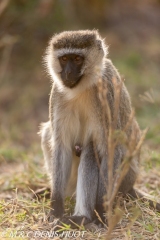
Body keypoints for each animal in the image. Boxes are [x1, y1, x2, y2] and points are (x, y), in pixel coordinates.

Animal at [39, 30, 159, 227]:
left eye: (77, 59)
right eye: (64, 59)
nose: (68, 72)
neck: (82, 88)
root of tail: (131, 185)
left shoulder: (107, 97)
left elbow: (111, 148)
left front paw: (101, 211)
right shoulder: (57, 94)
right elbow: (61, 147)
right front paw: (56, 208)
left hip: (123, 179)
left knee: (91, 147)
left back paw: (82, 217)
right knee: (49, 133)